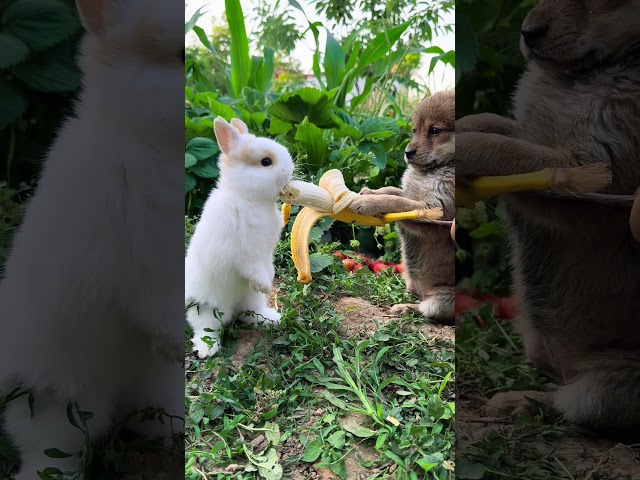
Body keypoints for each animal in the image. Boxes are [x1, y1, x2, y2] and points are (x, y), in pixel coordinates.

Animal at [0, 1, 185, 478]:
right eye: (177, 55)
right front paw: (176, 341)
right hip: (55, 401)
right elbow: (152, 304)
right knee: (51, 449)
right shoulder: (137, 261)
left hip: (152, 389)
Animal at [185, 115, 296, 356]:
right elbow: (251, 269)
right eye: (266, 162)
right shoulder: (243, 251)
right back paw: (206, 349)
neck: (248, 198)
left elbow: (267, 267)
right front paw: (265, 285)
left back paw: (271, 319)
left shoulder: (265, 253)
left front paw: (269, 282)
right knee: (206, 328)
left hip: (249, 299)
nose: (291, 170)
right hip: (208, 307)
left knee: (248, 314)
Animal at [350, 90, 456, 322]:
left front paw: (367, 203)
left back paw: (404, 308)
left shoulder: (435, 214)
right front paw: (370, 193)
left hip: (441, 299)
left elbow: (397, 201)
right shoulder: (410, 193)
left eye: (435, 131)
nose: (407, 153)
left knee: (427, 310)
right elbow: (392, 191)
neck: (433, 171)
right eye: (414, 130)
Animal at [456, 0, 640, 440]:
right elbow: (493, 126)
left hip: (604, 387)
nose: (529, 33)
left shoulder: (593, 176)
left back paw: (518, 402)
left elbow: (506, 152)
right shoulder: (528, 130)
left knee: (572, 406)